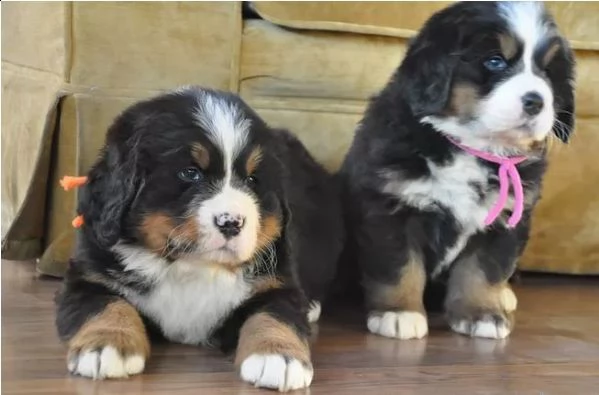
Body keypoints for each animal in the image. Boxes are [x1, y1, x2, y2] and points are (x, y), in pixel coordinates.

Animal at [54, 85, 344, 392]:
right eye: (190, 173)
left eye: (252, 180)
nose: (232, 222)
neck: (191, 267)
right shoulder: (89, 277)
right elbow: (107, 305)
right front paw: (107, 345)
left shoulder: (275, 282)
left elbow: (274, 314)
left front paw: (278, 357)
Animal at [338, 0, 576, 340]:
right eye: (494, 61)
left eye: (546, 71)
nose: (536, 102)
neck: (470, 146)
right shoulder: (389, 206)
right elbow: (399, 266)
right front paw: (398, 313)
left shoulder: (504, 220)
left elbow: (483, 271)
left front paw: (483, 314)